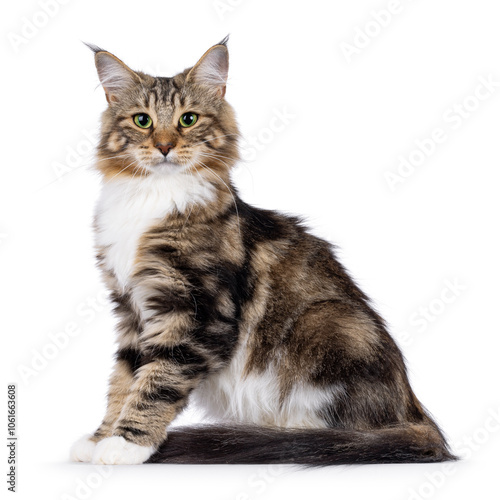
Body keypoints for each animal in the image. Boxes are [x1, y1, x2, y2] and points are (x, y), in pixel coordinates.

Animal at [70, 38, 458, 464]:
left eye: (188, 119)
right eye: (142, 121)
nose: (165, 146)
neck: (151, 196)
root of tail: (414, 409)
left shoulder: (197, 313)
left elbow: (158, 381)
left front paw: (127, 443)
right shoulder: (132, 308)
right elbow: (124, 379)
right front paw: (100, 437)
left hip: (328, 323)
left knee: (346, 430)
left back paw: (281, 437)